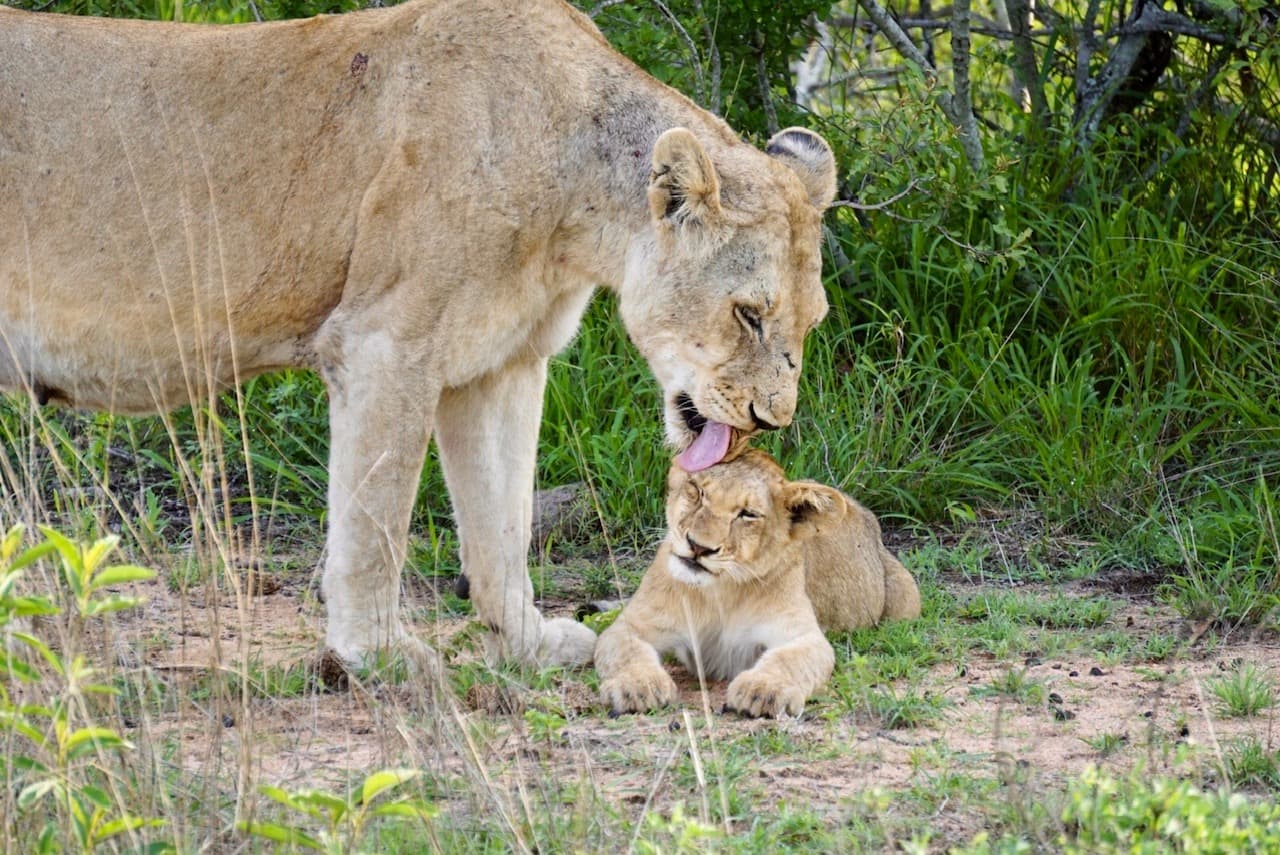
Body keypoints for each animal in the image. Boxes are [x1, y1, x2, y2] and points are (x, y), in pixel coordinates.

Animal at [0, 0, 836, 670]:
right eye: (749, 312)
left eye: (811, 321)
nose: (772, 419)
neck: (574, 201)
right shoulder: (383, 341)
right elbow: (376, 518)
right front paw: (375, 653)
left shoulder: (503, 365)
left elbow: (503, 522)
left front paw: (527, 640)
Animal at [595, 449, 920, 718]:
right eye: (698, 491)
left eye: (747, 514)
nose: (698, 547)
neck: (719, 591)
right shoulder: (632, 626)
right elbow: (628, 650)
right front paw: (638, 687)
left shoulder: (804, 636)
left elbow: (787, 659)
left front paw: (763, 690)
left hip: (907, 598)